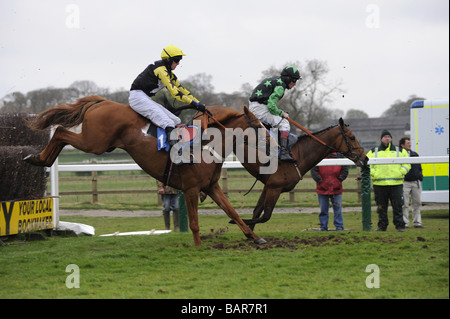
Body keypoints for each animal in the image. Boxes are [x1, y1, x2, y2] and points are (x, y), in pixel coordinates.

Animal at [23, 96, 268, 246]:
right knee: (61, 131)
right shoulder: (190, 189)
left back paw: (38, 158)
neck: (205, 146)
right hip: (94, 142)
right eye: (257, 124)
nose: (271, 141)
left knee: (61, 132)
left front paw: (255, 238)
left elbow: (233, 212)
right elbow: (194, 223)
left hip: (100, 143)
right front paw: (198, 246)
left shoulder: (211, 186)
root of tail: (102, 102)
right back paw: (37, 157)